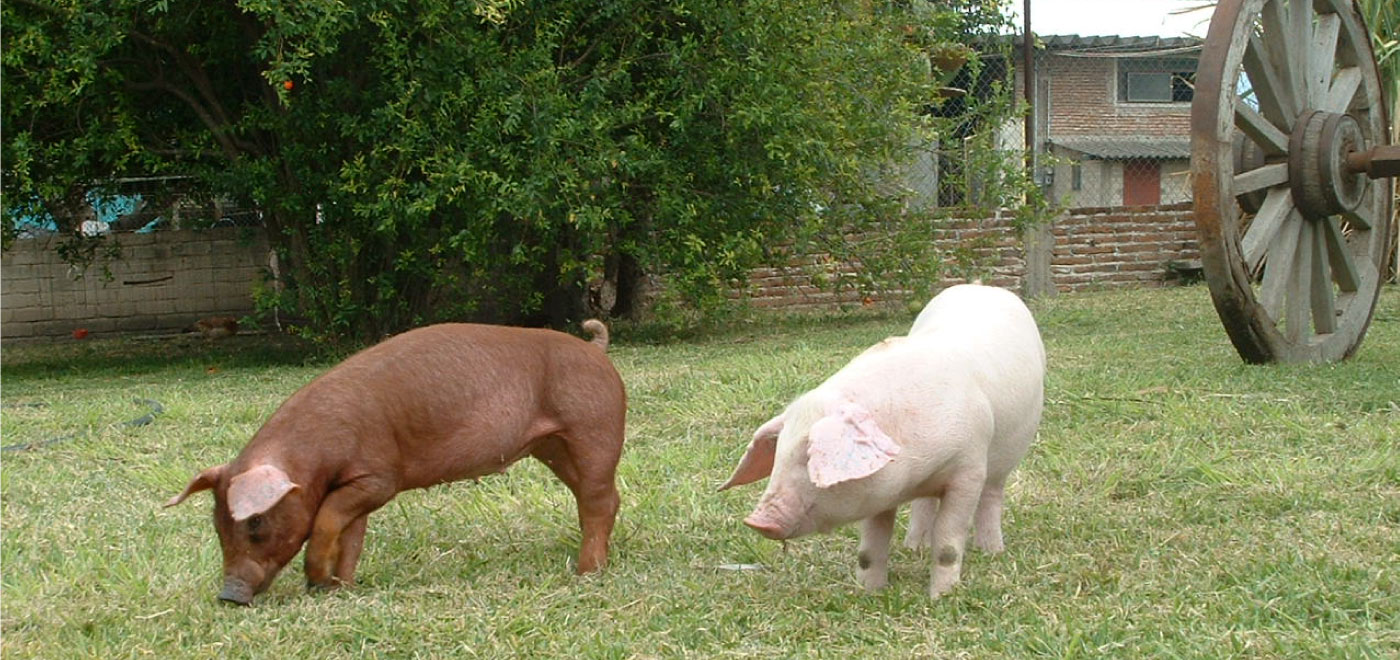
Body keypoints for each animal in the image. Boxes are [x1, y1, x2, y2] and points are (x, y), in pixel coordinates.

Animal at [165, 320, 625, 605]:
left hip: (595, 428)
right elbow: (351, 535)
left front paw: (316, 581)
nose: (229, 596)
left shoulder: (378, 477)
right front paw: (339, 588)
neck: (313, 458)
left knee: (600, 499)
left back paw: (586, 573)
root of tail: (595, 348)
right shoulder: (356, 487)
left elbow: (326, 520)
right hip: (553, 448)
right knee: (597, 498)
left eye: (256, 522)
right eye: (217, 524)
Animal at [720, 284, 1044, 597]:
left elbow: (949, 543)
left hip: (1006, 455)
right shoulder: (878, 491)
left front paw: (941, 598)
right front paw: (869, 593)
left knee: (992, 495)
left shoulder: (969, 470)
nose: (757, 520)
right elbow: (869, 548)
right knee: (924, 504)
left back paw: (992, 552)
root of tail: (982, 286)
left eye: (810, 456)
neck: (915, 469)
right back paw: (914, 547)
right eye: (779, 455)